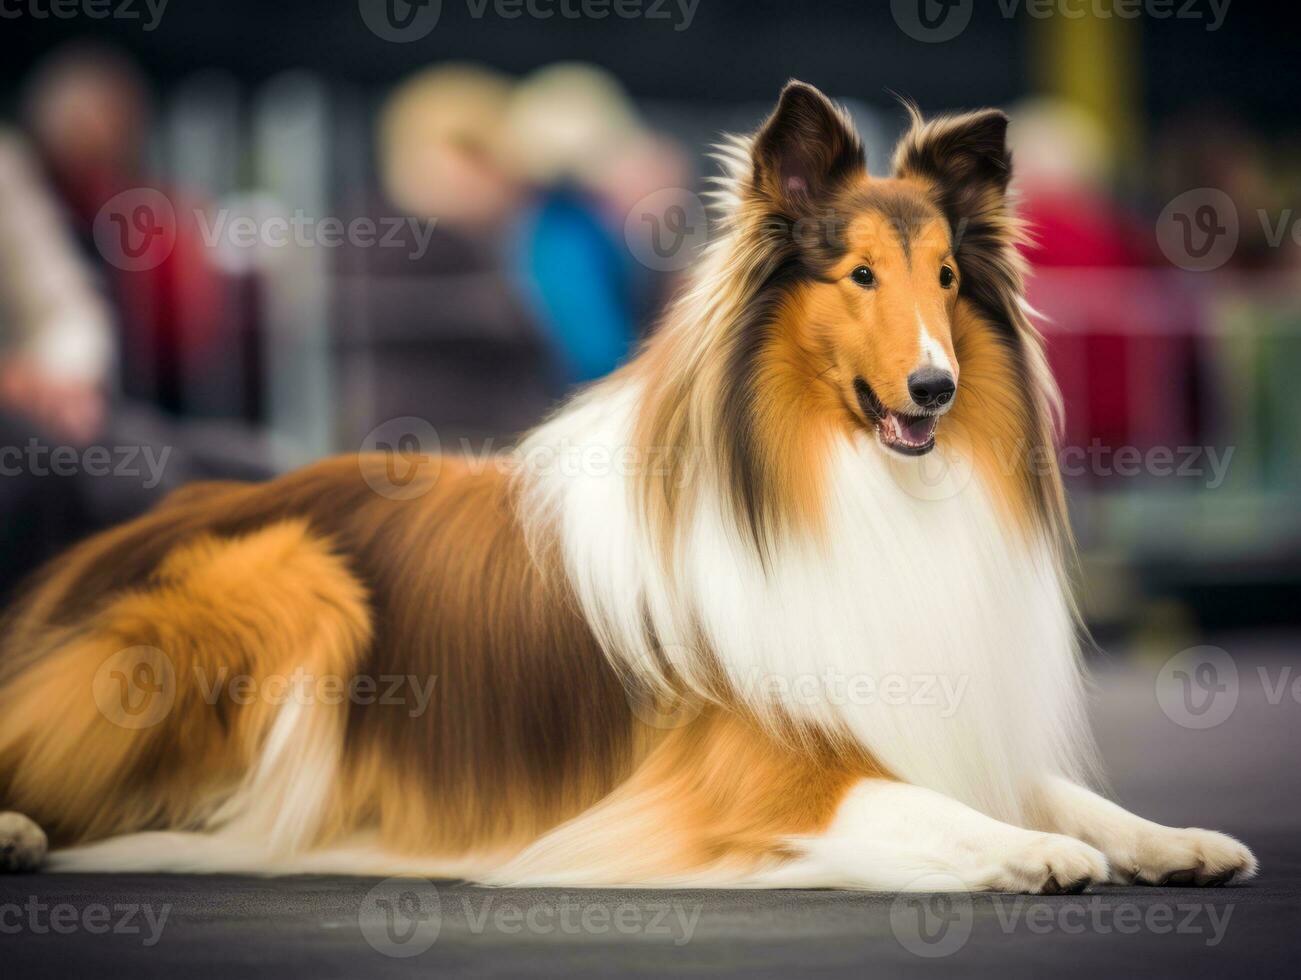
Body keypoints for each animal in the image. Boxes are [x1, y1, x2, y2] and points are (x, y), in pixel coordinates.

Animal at [0, 83, 1259, 890]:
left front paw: (1168, 835)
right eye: (856, 275)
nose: (934, 386)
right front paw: (1029, 851)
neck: (838, 483)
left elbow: (1045, 785)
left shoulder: (931, 719)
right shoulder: (745, 770)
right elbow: (911, 801)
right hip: (284, 584)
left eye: (946, 277)